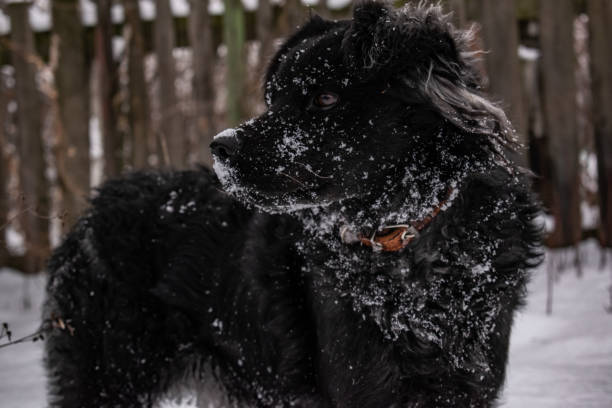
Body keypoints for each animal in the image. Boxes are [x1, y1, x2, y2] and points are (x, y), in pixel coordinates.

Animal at [43, 1, 540, 406]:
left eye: (325, 97)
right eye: (274, 97)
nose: (219, 147)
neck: (405, 239)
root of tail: (95, 206)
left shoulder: (468, 385)